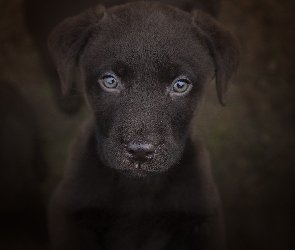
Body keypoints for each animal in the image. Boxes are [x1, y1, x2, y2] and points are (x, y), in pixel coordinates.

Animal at [47, 0, 239, 249]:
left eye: (180, 85)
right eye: (110, 81)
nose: (140, 152)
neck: (138, 189)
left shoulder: (204, 220)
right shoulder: (68, 211)